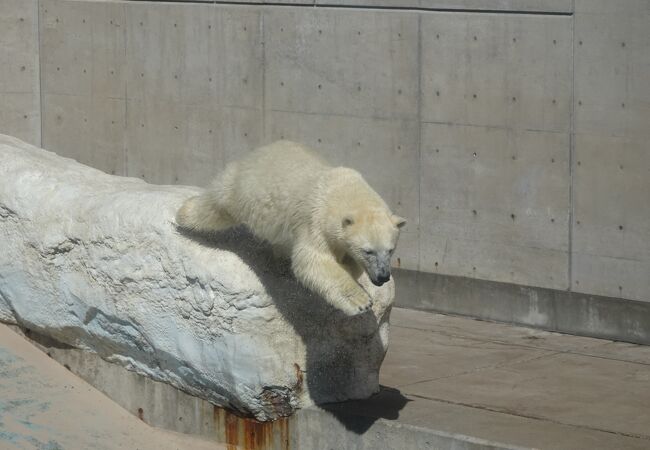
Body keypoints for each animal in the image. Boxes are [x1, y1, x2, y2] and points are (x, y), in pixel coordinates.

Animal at [175, 142, 402, 316]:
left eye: (390, 250)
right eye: (368, 251)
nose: (383, 277)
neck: (341, 191)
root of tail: (262, 149)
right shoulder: (315, 222)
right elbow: (312, 261)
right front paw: (361, 301)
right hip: (242, 189)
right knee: (216, 203)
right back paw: (183, 215)